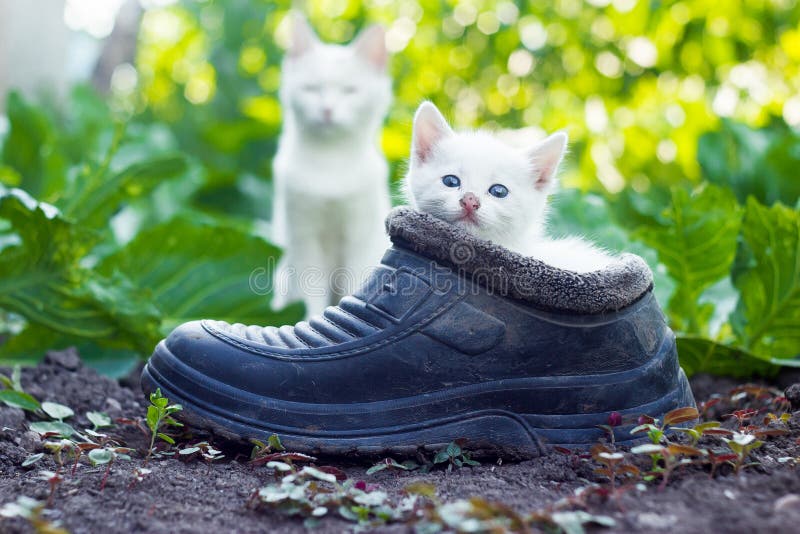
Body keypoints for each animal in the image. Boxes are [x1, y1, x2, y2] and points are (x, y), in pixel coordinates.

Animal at [270, 13, 392, 318]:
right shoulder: (304, 237)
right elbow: (310, 293)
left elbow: (354, 284)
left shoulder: (358, 237)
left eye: (350, 91)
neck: (331, 160)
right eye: (312, 88)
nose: (327, 109)